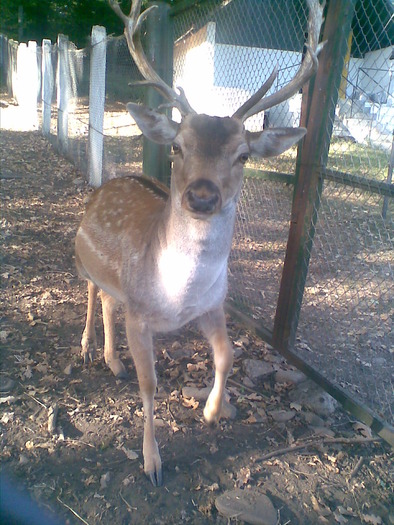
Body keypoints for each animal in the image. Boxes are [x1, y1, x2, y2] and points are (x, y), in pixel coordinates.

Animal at [74, 0, 324, 488]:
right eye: (177, 148)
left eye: (243, 155)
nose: (203, 196)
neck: (177, 297)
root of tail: (106, 184)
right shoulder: (140, 315)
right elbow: (149, 386)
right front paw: (153, 462)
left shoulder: (214, 304)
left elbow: (228, 354)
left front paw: (213, 411)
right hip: (82, 259)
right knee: (93, 293)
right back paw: (90, 348)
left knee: (109, 299)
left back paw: (113, 361)